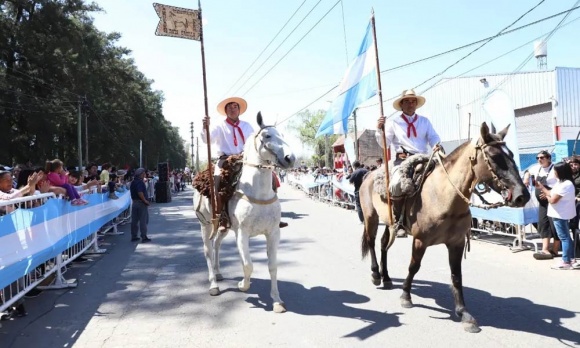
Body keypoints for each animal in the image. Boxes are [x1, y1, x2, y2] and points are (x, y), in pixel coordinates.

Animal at [194, 113, 294, 312]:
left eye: (282, 134)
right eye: (267, 136)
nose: (290, 158)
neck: (258, 191)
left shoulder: (273, 233)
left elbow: (272, 266)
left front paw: (277, 300)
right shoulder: (242, 233)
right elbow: (248, 264)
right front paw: (242, 285)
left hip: (223, 227)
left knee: (217, 244)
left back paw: (219, 273)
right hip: (206, 225)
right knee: (208, 250)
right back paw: (213, 284)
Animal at [360, 122, 532, 332]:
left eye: (512, 155)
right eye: (494, 156)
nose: (522, 195)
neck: (444, 197)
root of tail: (369, 174)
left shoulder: (456, 243)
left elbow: (456, 276)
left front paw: (464, 313)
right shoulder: (420, 241)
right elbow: (413, 267)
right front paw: (406, 296)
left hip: (390, 223)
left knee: (384, 244)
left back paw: (386, 278)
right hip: (371, 217)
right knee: (371, 241)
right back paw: (376, 274)